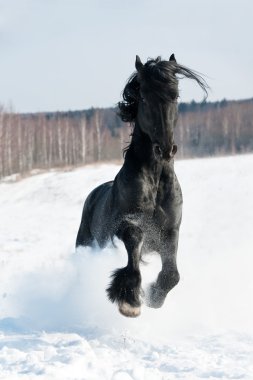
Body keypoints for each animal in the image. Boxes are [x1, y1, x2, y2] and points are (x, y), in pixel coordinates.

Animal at [75, 55, 208, 318]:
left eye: (175, 95)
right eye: (144, 97)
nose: (165, 149)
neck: (155, 184)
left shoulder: (170, 231)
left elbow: (171, 274)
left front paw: (154, 296)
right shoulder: (125, 225)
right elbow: (134, 241)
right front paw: (130, 301)